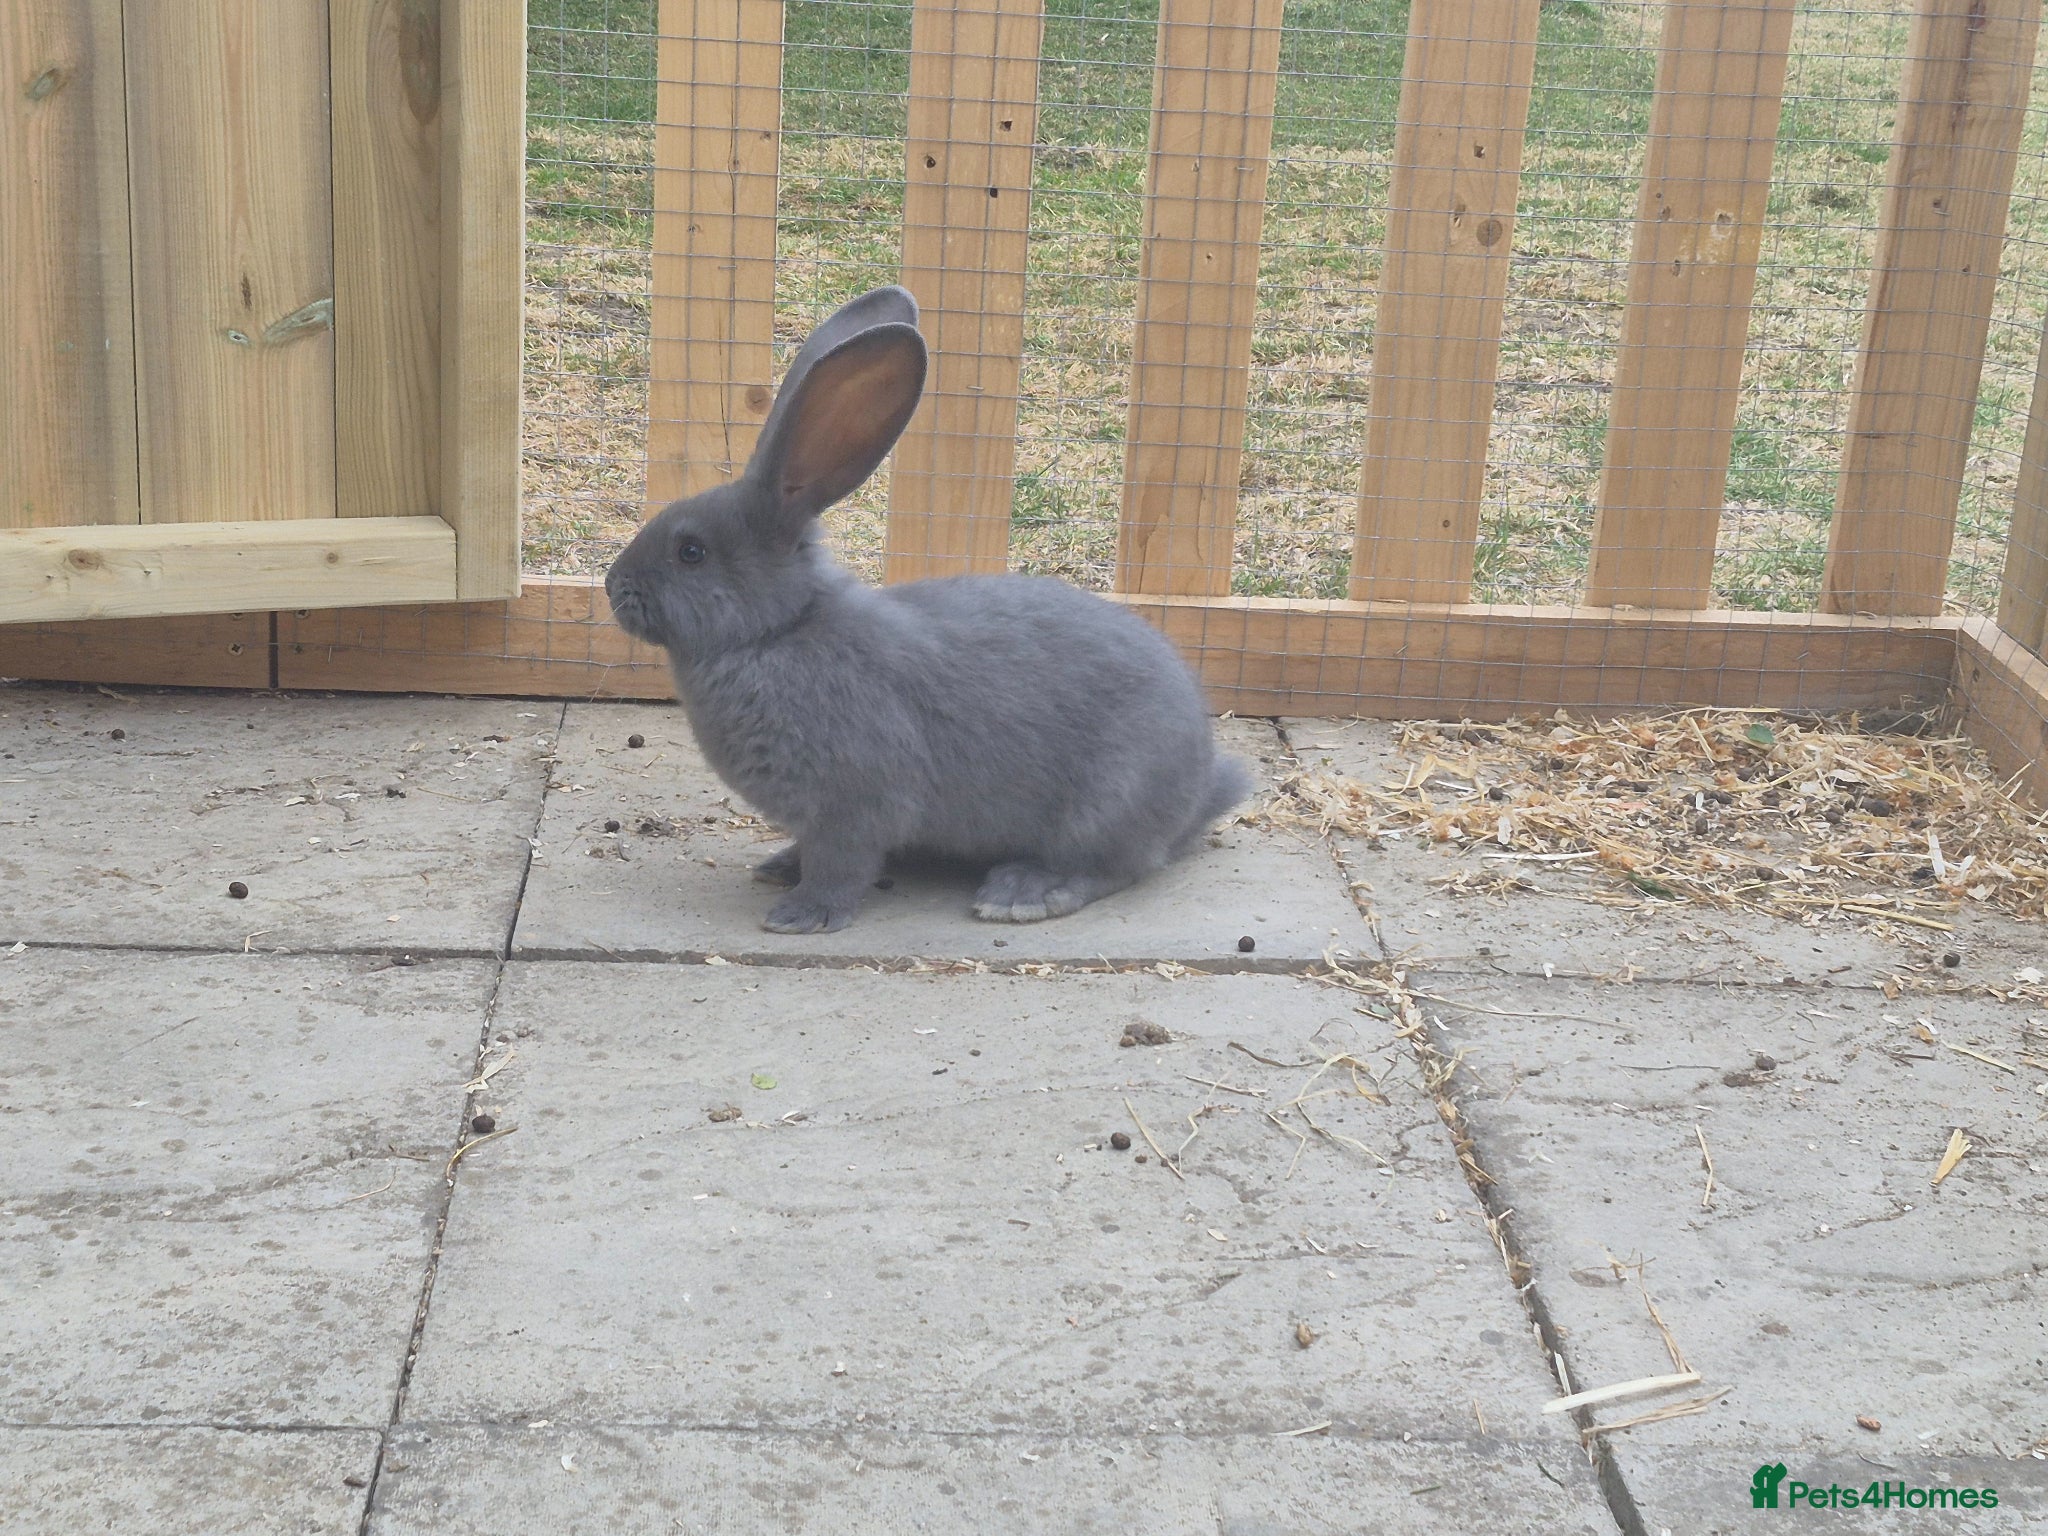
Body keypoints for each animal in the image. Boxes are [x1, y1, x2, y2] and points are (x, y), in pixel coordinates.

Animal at [604, 285, 1253, 934]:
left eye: (691, 552)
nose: (613, 586)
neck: (781, 630)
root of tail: (1201, 785)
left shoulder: (853, 806)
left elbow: (840, 867)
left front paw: (799, 916)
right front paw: (781, 869)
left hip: (1105, 804)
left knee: (1116, 867)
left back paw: (1022, 893)